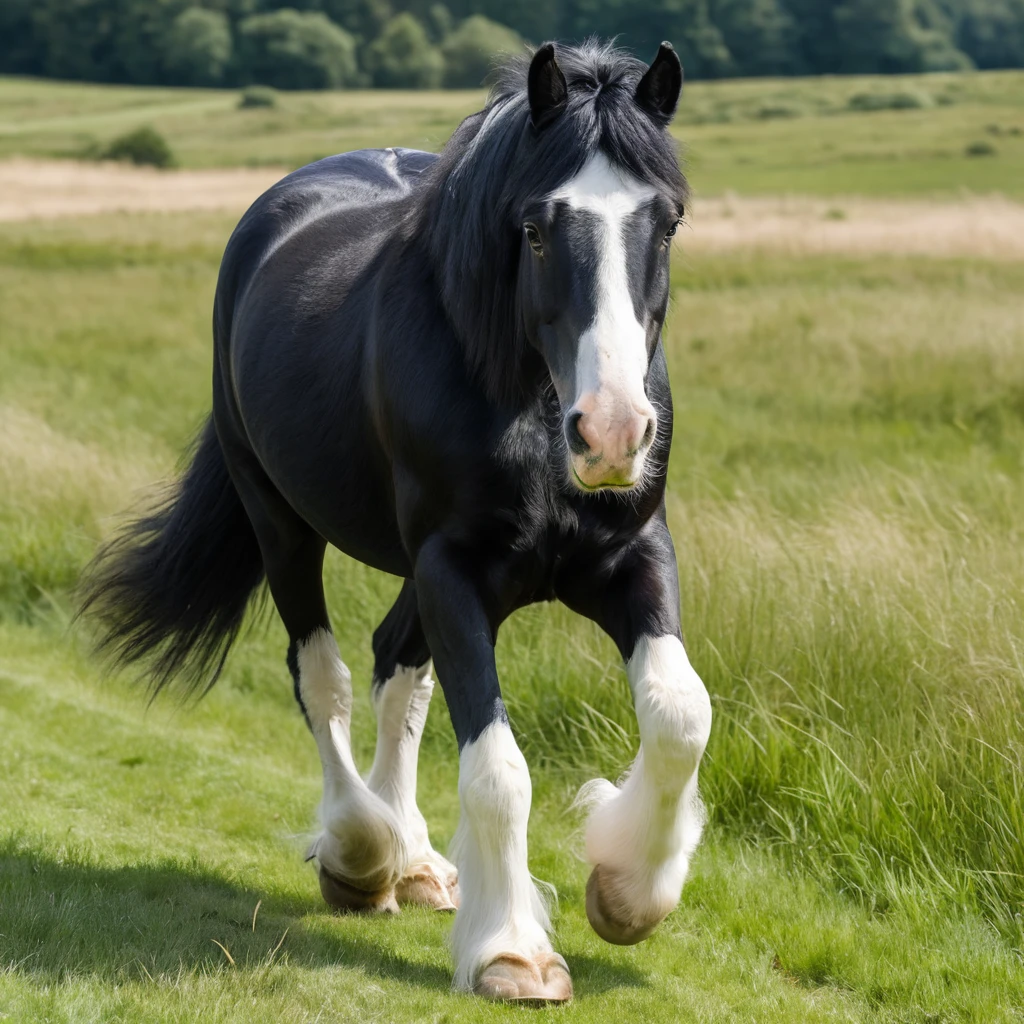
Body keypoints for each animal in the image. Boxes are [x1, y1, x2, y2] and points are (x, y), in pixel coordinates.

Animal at [80, 39, 713, 1004]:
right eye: (535, 228)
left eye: (668, 223)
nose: (610, 433)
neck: (525, 402)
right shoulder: (454, 569)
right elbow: (497, 769)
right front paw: (512, 952)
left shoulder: (627, 557)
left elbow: (681, 714)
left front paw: (626, 889)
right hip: (280, 522)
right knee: (325, 676)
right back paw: (361, 849)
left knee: (394, 668)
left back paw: (412, 859)